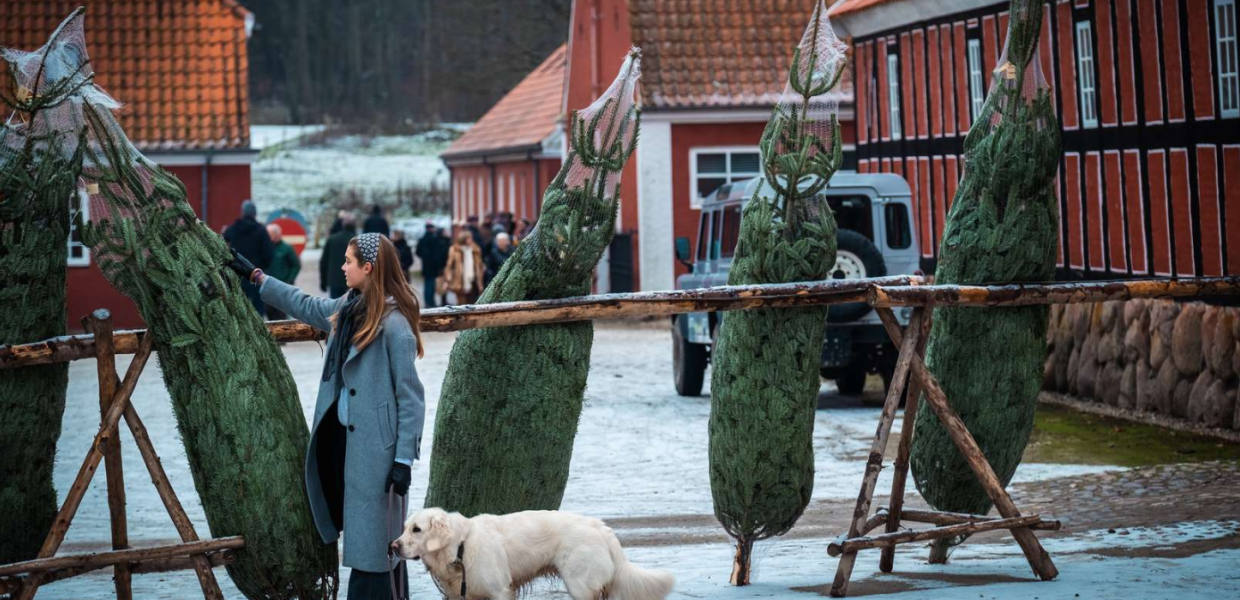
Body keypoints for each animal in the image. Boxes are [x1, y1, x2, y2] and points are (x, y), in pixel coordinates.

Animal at [391, 508, 674, 597]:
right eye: (404, 528)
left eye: (417, 529)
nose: (392, 546)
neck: (460, 545)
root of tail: (600, 527)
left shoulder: (500, 591)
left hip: (580, 584)